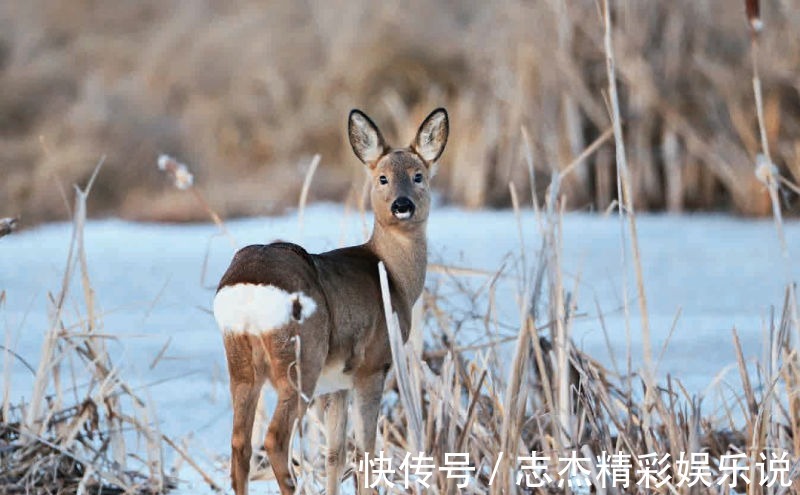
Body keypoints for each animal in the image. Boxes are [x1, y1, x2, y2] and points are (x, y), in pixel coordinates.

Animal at [212, 106, 450, 494]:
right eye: (382, 178)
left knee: (239, 443)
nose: (402, 206)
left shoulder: (336, 381)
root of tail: (248, 287)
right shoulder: (373, 364)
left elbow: (335, 453)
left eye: (418, 176)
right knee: (275, 439)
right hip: (300, 358)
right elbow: (366, 450)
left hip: (241, 361)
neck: (393, 275)